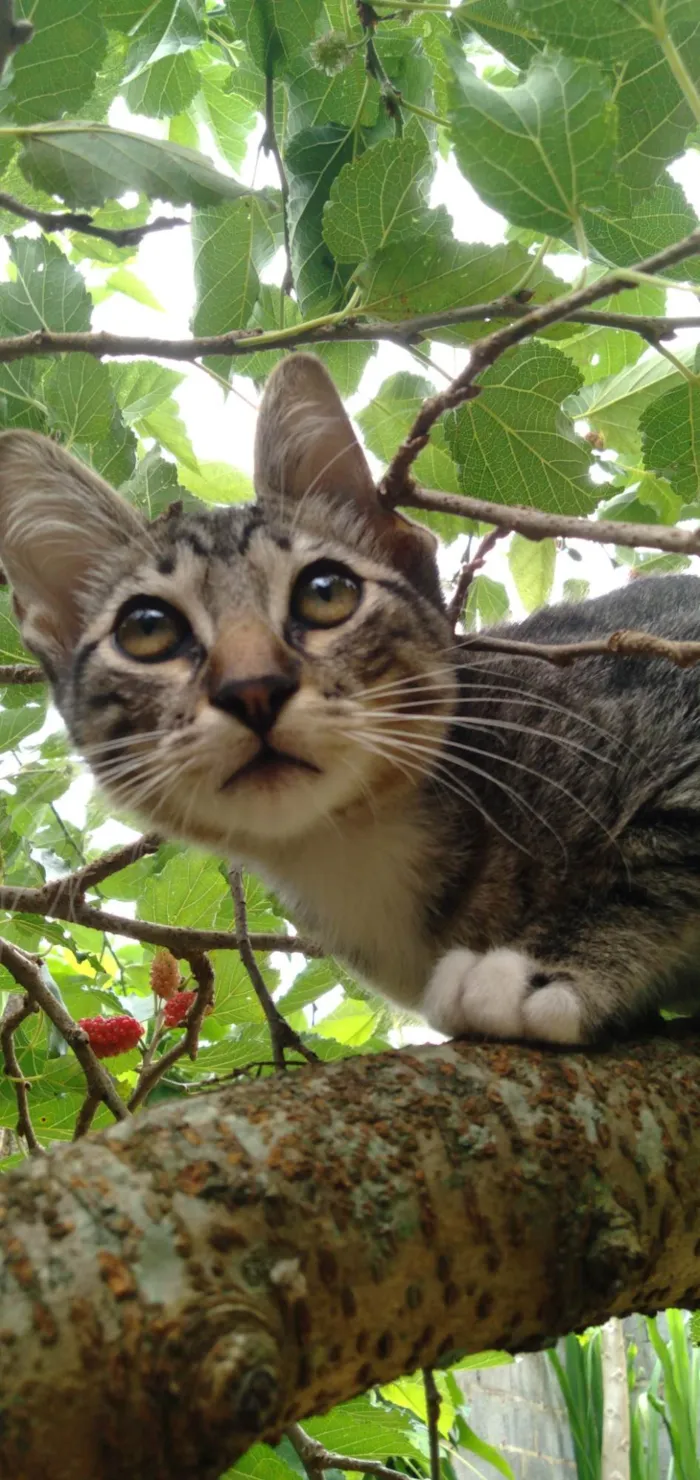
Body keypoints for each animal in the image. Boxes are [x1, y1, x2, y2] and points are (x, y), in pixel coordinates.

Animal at [1, 347, 698, 1047]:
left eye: (326, 593)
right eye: (147, 630)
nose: (253, 689)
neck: (353, 844)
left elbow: (661, 848)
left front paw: (537, 971)